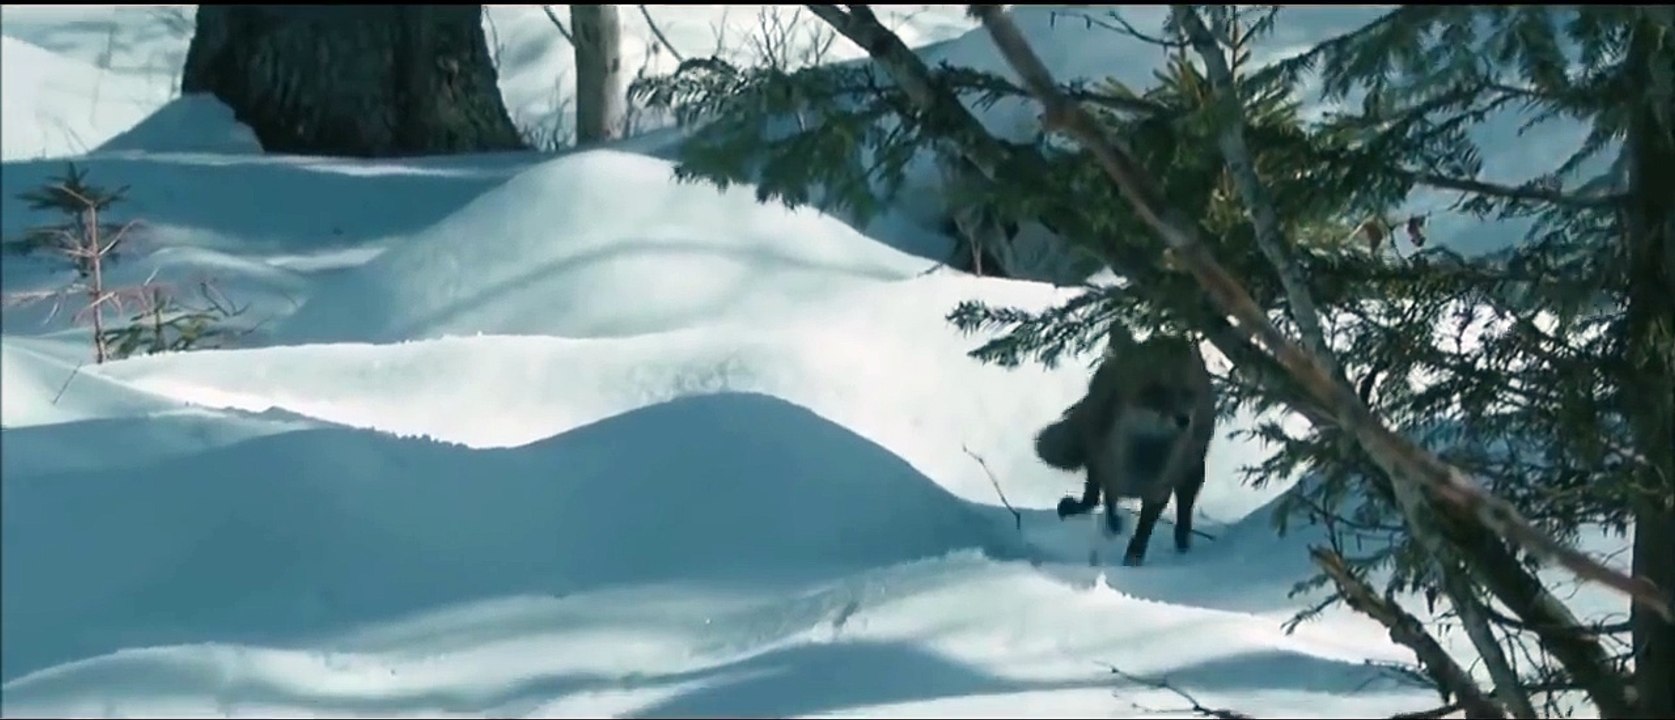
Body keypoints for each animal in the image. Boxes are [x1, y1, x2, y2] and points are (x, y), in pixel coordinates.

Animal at [1034, 329, 1216, 567]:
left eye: (1188, 393)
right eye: (1155, 392)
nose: (1184, 420)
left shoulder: (1159, 491)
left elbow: (1144, 529)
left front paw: (1134, 555)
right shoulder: (1109, 469)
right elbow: (1109, 499)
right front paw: (1113, 527)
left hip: (1193, 472)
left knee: (1184, 513)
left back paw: (1183, 545)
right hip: (1095, 448)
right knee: (1092, 494)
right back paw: (1083, 507)